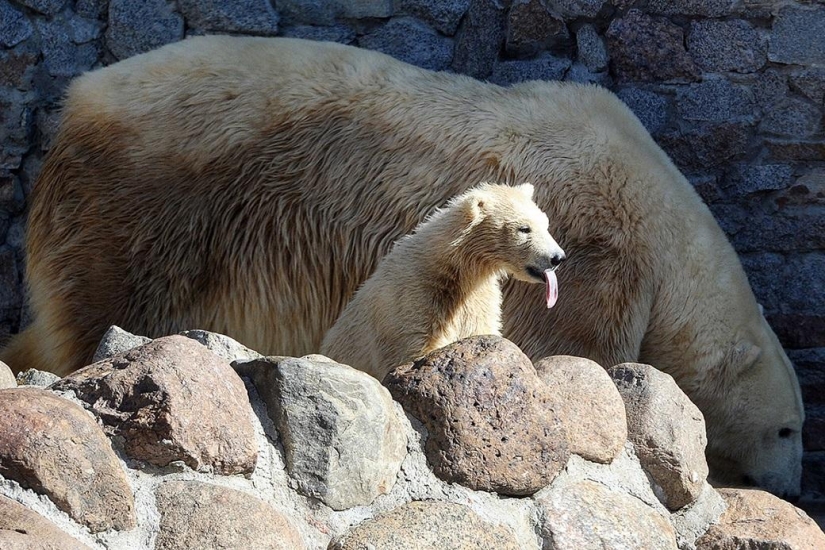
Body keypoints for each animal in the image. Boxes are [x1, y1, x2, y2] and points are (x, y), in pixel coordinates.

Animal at [322, 183, 568, 382]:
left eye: (545, 224)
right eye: (524, 228)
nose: (557, 258)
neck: (452, 270)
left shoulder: (477, 299)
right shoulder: (413, 299)